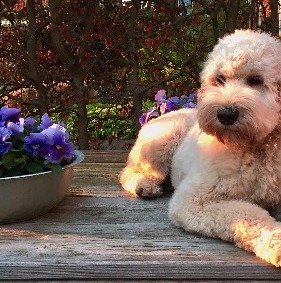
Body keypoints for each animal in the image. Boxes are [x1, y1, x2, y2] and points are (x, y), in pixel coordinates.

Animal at [119, 30, 280, 268]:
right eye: (219, 79)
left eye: (256, 80)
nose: (225, 114)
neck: (256, 146)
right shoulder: (194, 200)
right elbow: (246, 213)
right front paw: (276, 243)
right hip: (160, 143)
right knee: (131, 172)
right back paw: (144, 186)